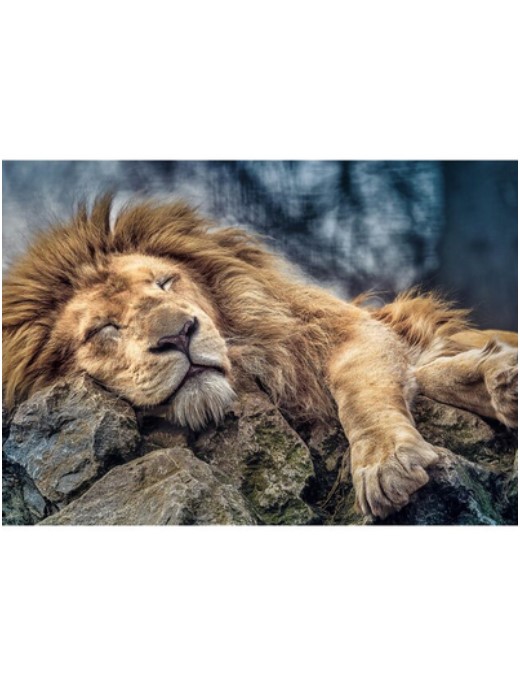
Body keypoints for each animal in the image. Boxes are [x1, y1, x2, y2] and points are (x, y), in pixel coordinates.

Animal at [2, 195, 518, 519]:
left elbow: (361, 386)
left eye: (165, 282)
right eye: (103, 329)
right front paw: (494, 378)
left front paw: (386, 462)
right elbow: (425, 372)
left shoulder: (350, 329)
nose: (180, 335)